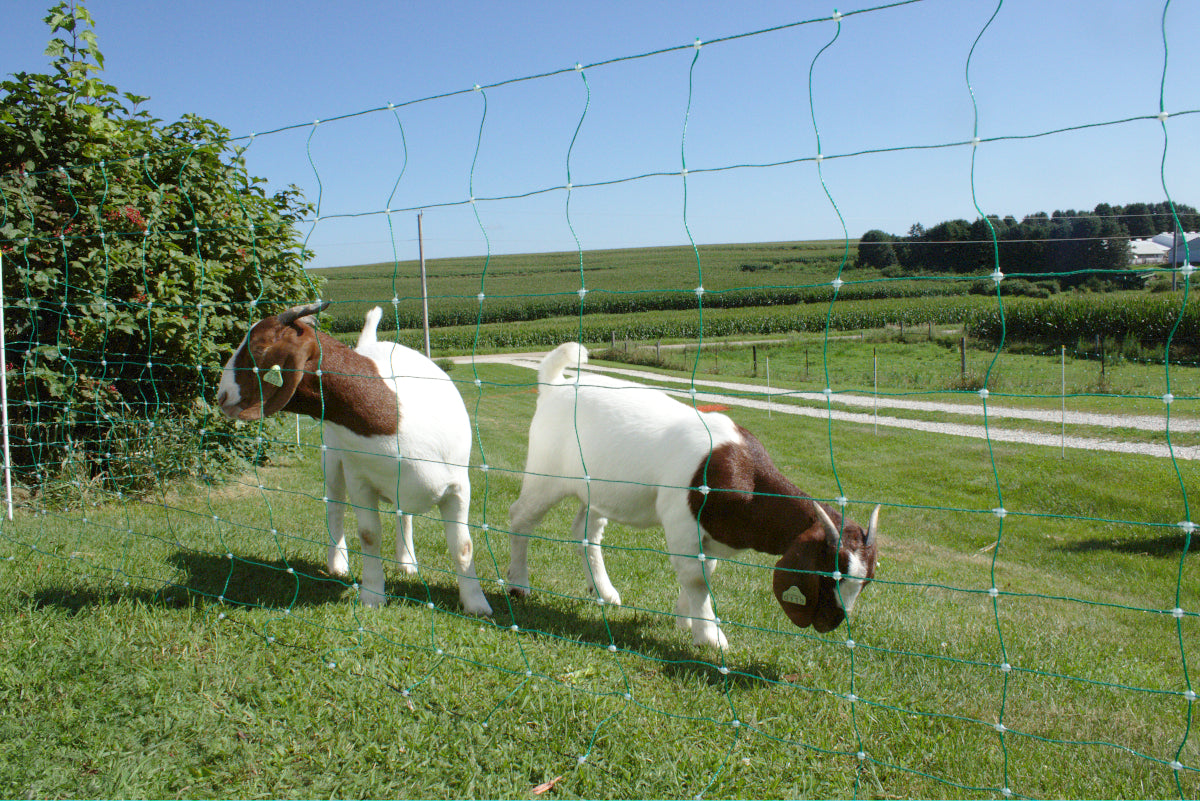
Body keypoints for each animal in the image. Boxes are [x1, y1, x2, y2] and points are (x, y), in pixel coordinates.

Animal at [215, 301, 493, 616]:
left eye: (260, 348)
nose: (222, 396)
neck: (391, 415)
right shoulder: (360, 482)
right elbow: (369, 535)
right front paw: (373, 595)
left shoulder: (458, 487)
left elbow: (463, 546)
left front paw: (476, 604)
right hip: (333, 461)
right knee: (335, 507)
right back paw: (338, 563)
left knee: (404, 515)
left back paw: (407, 562)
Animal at [506, 342, 879, 649]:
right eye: (830, 574)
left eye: (868, 581)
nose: (831, 623)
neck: (745, 473)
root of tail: (553, 386)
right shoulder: (681, 521)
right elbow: (696, 577)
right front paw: (710, 636)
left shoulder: (710, 532)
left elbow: (705, 570)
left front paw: (685, 617)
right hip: (545, 476)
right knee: (520, 517)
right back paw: (518, 585)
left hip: (596, 490)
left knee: (586, 533)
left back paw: (604, 592)